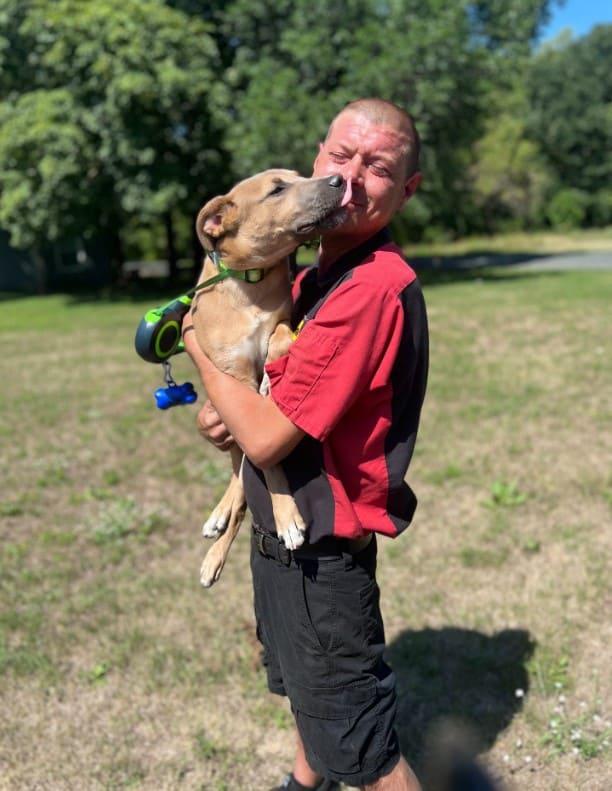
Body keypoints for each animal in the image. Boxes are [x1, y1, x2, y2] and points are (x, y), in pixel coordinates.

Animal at [191, 169, 346, 588]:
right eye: (277, 189)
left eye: (302, 175)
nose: (338, 179)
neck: (250, 283)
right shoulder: (233, 377)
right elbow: (266, 466)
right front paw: (287, 516)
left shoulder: (281, 321)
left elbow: (278, 335)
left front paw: (270, 379)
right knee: (241, 473)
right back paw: (216, 539)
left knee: (241, 481)